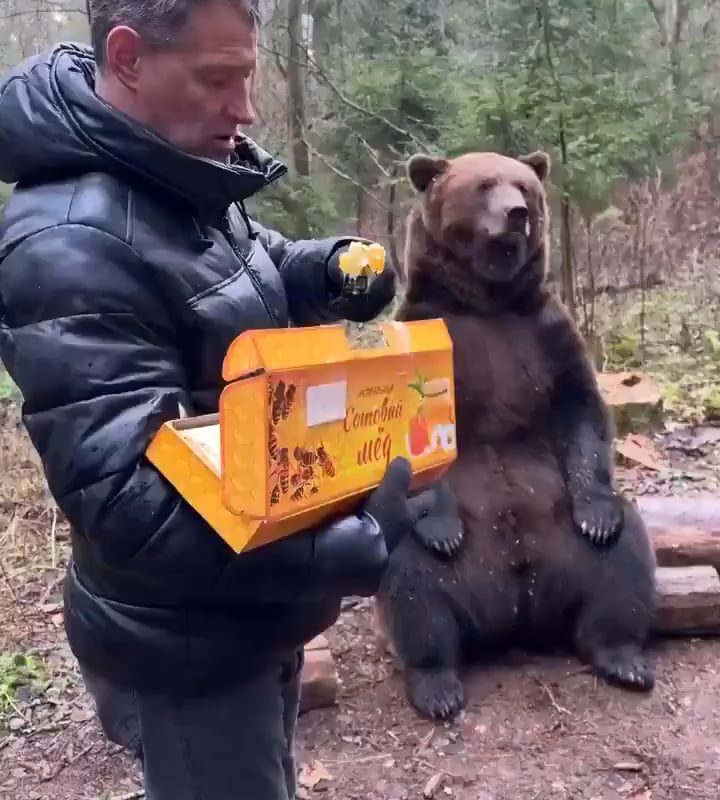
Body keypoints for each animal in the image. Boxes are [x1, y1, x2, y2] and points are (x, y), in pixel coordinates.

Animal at [374, 149, 657, 722]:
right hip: (448, 568)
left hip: (566, 543)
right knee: (415, 590)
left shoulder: (545, 331)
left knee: (623, 564)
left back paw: (623, 657)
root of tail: (517, 609)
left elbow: (579, 408)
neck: (487, 303)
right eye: (485, 185)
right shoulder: (428, 332)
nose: (516, 214)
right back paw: (436, 685)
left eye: (524, 186)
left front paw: (596, 516)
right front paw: (443, 526)